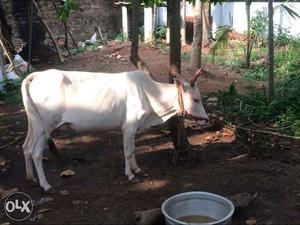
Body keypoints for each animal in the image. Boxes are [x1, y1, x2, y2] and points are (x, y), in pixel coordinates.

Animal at [21, 69, 209, 192]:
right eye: (195, 99)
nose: (207, 118)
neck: (149, 94)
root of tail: (37, 75)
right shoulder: (129, 125)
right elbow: (127, 151)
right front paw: (130, 175)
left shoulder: (133, 127)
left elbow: (133, 149)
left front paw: (137, 169)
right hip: (44, 127)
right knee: (36, 153)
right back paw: (45, 185)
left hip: (33, 124)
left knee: (26, 147)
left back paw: (30, 178)